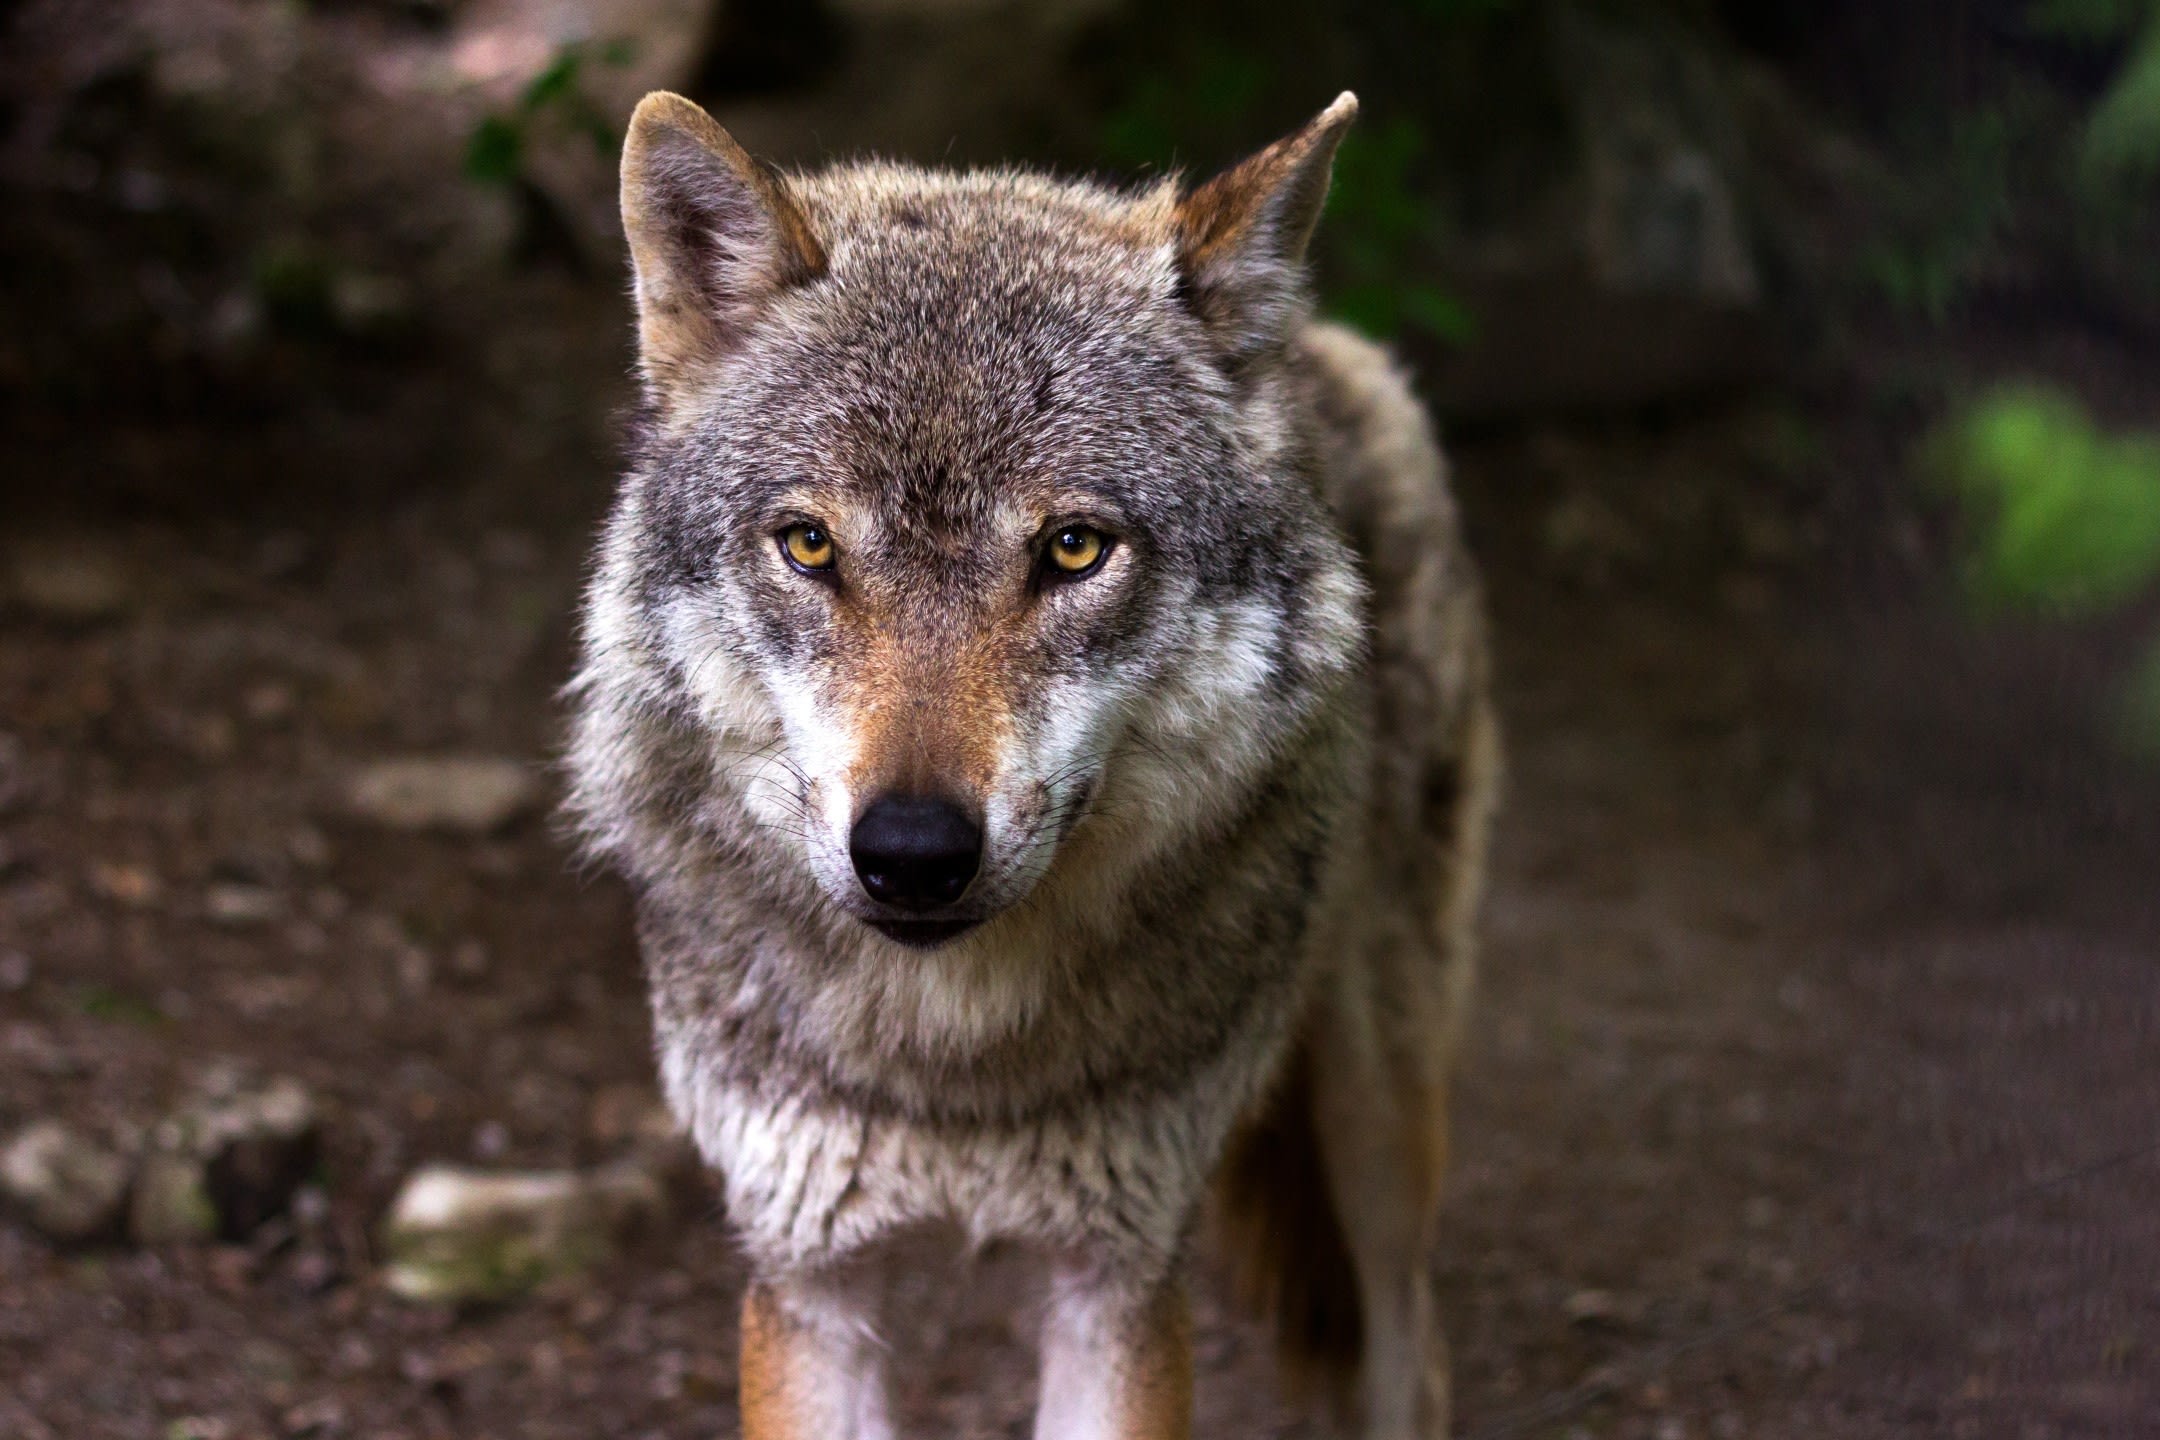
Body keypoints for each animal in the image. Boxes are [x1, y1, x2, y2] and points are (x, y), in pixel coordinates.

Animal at [565, 90, 1494, 1440]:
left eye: (1072, 549)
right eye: (809, 544)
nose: (912, 853)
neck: (952, 1064)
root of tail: (1316, 345)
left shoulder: (1117, 1279)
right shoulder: (808, 1279)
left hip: (1380, 1120)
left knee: (1412, 1350)